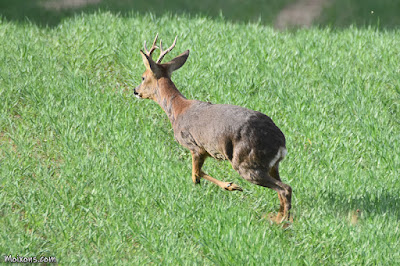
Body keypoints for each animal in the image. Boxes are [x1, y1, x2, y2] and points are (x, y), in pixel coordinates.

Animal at [133, 35, 292, 222]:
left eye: (143, 77)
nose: (135, 90)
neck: (177, 111)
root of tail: (280, 142)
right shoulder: (205, 150)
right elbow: (198, 173)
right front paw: (230, 186)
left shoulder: (195, 146)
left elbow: (196, 174)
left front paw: (230, 186)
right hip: (272, 165)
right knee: (282, 189)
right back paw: (278, 218)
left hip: (246, 162)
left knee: (285, 188)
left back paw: (282, 221)